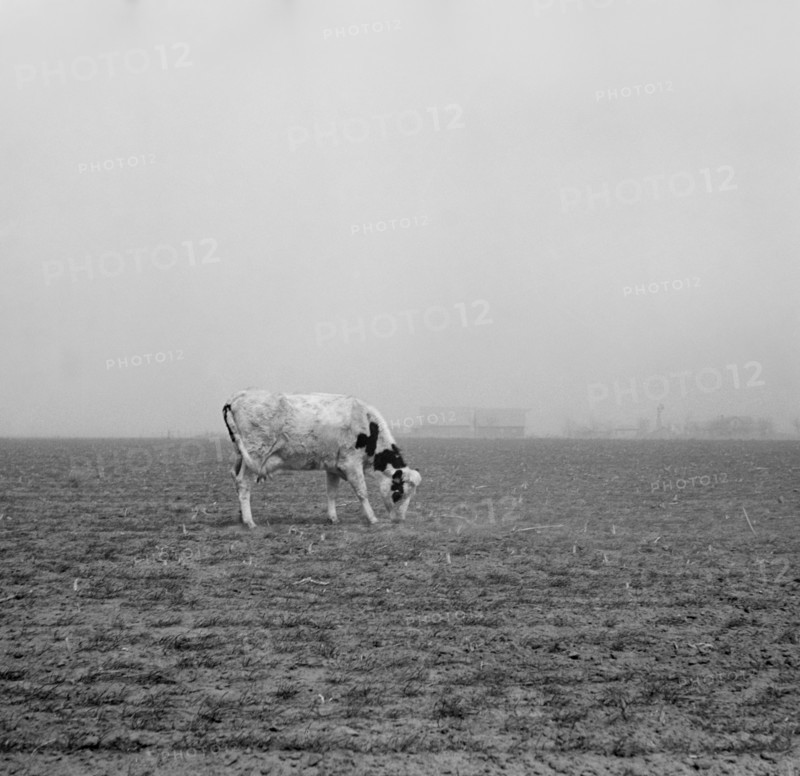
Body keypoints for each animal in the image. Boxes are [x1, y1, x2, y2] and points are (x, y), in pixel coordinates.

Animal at [222, 390, 421, 528]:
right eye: (398, 493)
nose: (400, 520)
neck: (367, 425)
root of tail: (238, 396)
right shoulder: (351, 464)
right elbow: (362, 492)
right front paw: (372, 518)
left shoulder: (333, 467)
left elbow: (331, 493)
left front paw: (333, 517)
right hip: (255, 453)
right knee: (243, 483)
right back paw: (249, 522)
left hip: (240, 456)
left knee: (235, 478)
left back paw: (241, 517)